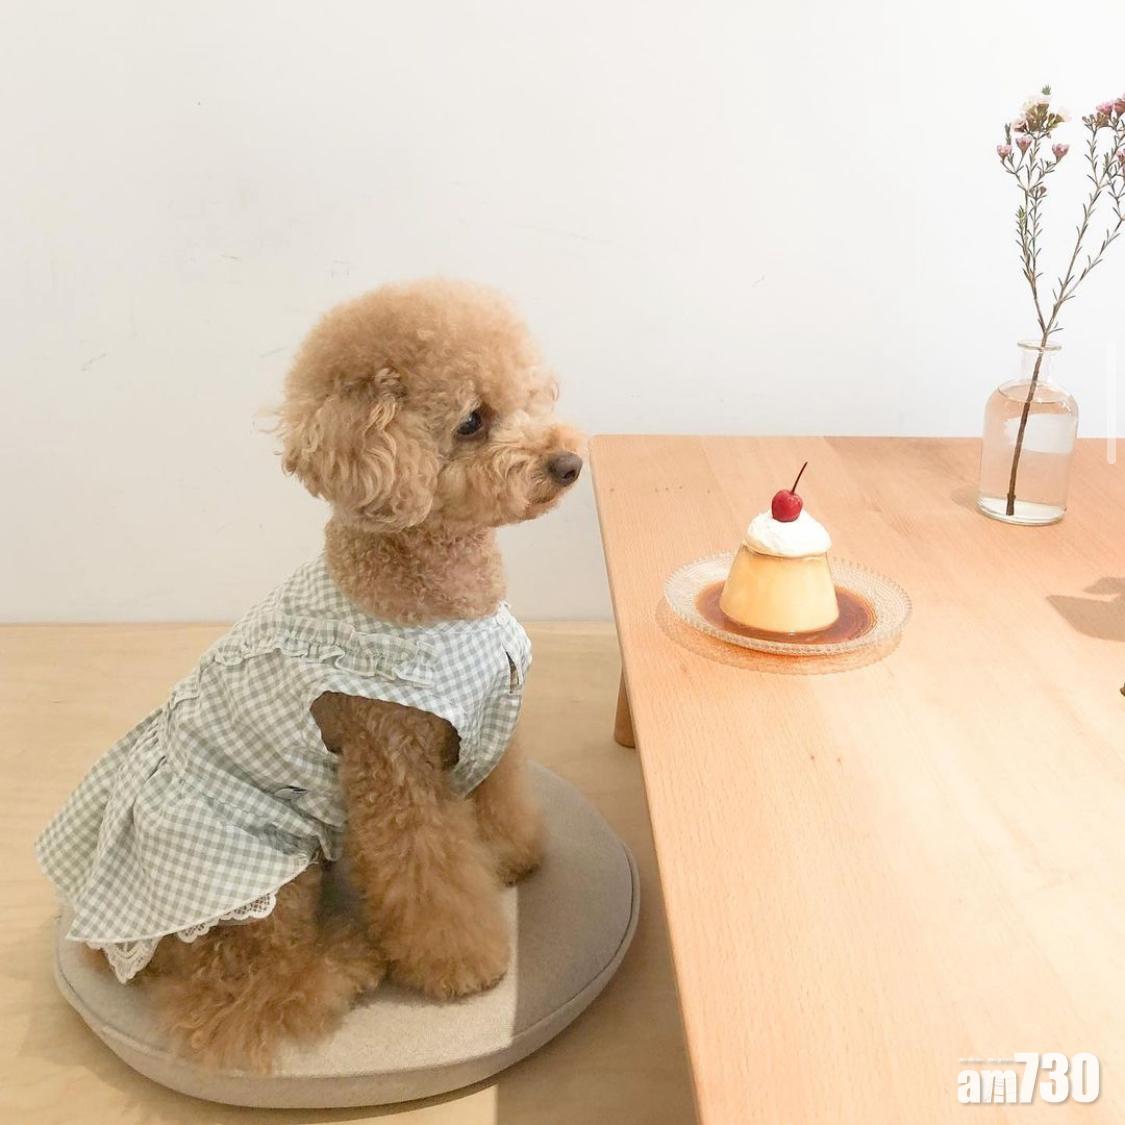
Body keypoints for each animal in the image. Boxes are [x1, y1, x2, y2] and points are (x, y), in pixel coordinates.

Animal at [36, 278, 583, 1069]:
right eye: (471, 422)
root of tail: (106, 951)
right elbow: (425, 874)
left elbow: (497, 801)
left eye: (528, 398)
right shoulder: (391, 760)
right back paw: (343, 964)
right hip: (269, 873)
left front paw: (512, 857)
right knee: (244, 992)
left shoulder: (487, 720)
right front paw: (464, 965)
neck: (435, 591)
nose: (569, 463)